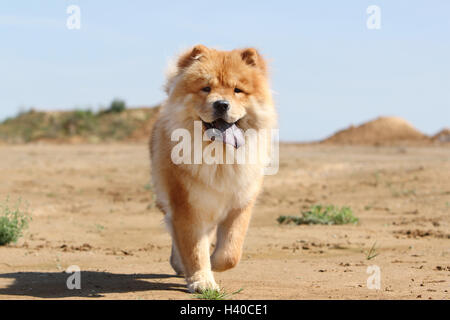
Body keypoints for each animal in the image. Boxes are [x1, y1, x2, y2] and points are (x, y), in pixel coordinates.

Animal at [151, 44, 276, 292]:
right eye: (206, 88)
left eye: (238, 90)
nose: (221, 104)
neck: (220, 157)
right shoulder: (188, 206)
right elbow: (194, 249)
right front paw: (202, 282)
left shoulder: (241, 204)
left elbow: (231, 252)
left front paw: (215, 264)